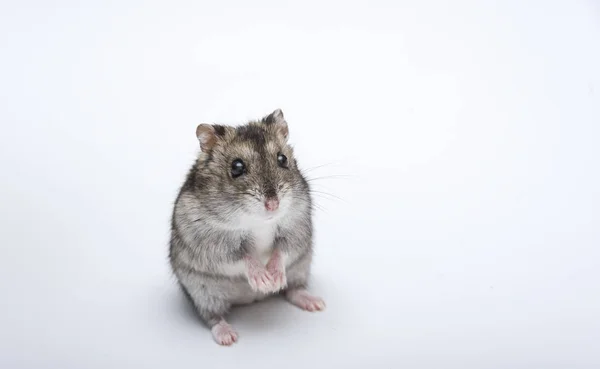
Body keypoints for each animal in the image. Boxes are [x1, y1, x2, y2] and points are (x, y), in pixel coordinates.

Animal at [171, 108, 326, 344]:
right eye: (237, 167)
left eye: (282, 159)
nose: (273, 205)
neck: (258, 222)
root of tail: (249, 299)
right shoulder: (213, 242)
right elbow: (242, 257)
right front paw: (263, 279)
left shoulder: (296, 225)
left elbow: (282, 250)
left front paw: (274, 279)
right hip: (202, 291)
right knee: (212, 317)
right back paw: (227, 336)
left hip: (300, 268)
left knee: (293, 290)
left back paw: (313, 302)